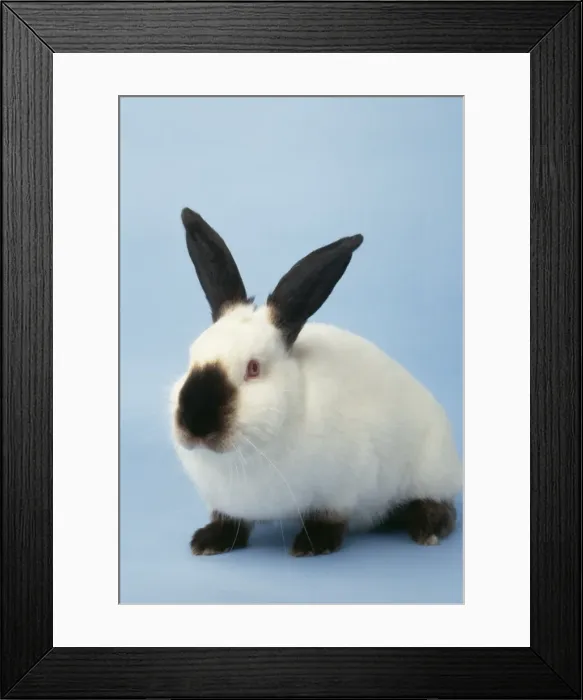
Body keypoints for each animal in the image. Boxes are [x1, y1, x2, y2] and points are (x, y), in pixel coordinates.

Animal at [170, 207, 462, 557]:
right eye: (191, 358)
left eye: (253, 368)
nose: (196, 424)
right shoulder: (228, 502)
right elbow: (230, 521)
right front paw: (208, 541)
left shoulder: (342, 488)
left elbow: (329, 517)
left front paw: (312, 545)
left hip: (431, 469)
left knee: (443, 505)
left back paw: (427, 529)